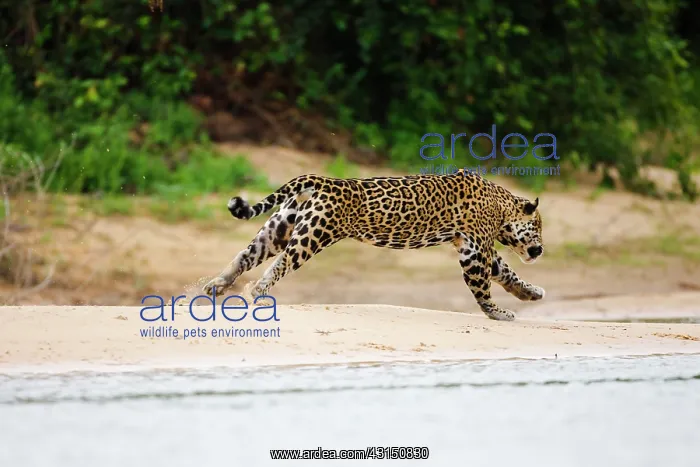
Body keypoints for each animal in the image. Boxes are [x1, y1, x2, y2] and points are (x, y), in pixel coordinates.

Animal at [202, 169, 546, 321]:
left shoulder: (472, 245)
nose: (541, 250)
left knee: (245, 255)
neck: (502, 205)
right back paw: (257, 293)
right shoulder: (474, 249)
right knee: (281, 263)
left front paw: (531, 293)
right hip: (312, 235)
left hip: (280, 228)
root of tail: (322, 180)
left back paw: (216, 286)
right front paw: (498, 313)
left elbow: (507, 273)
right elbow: (483, 285)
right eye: (539, 227)